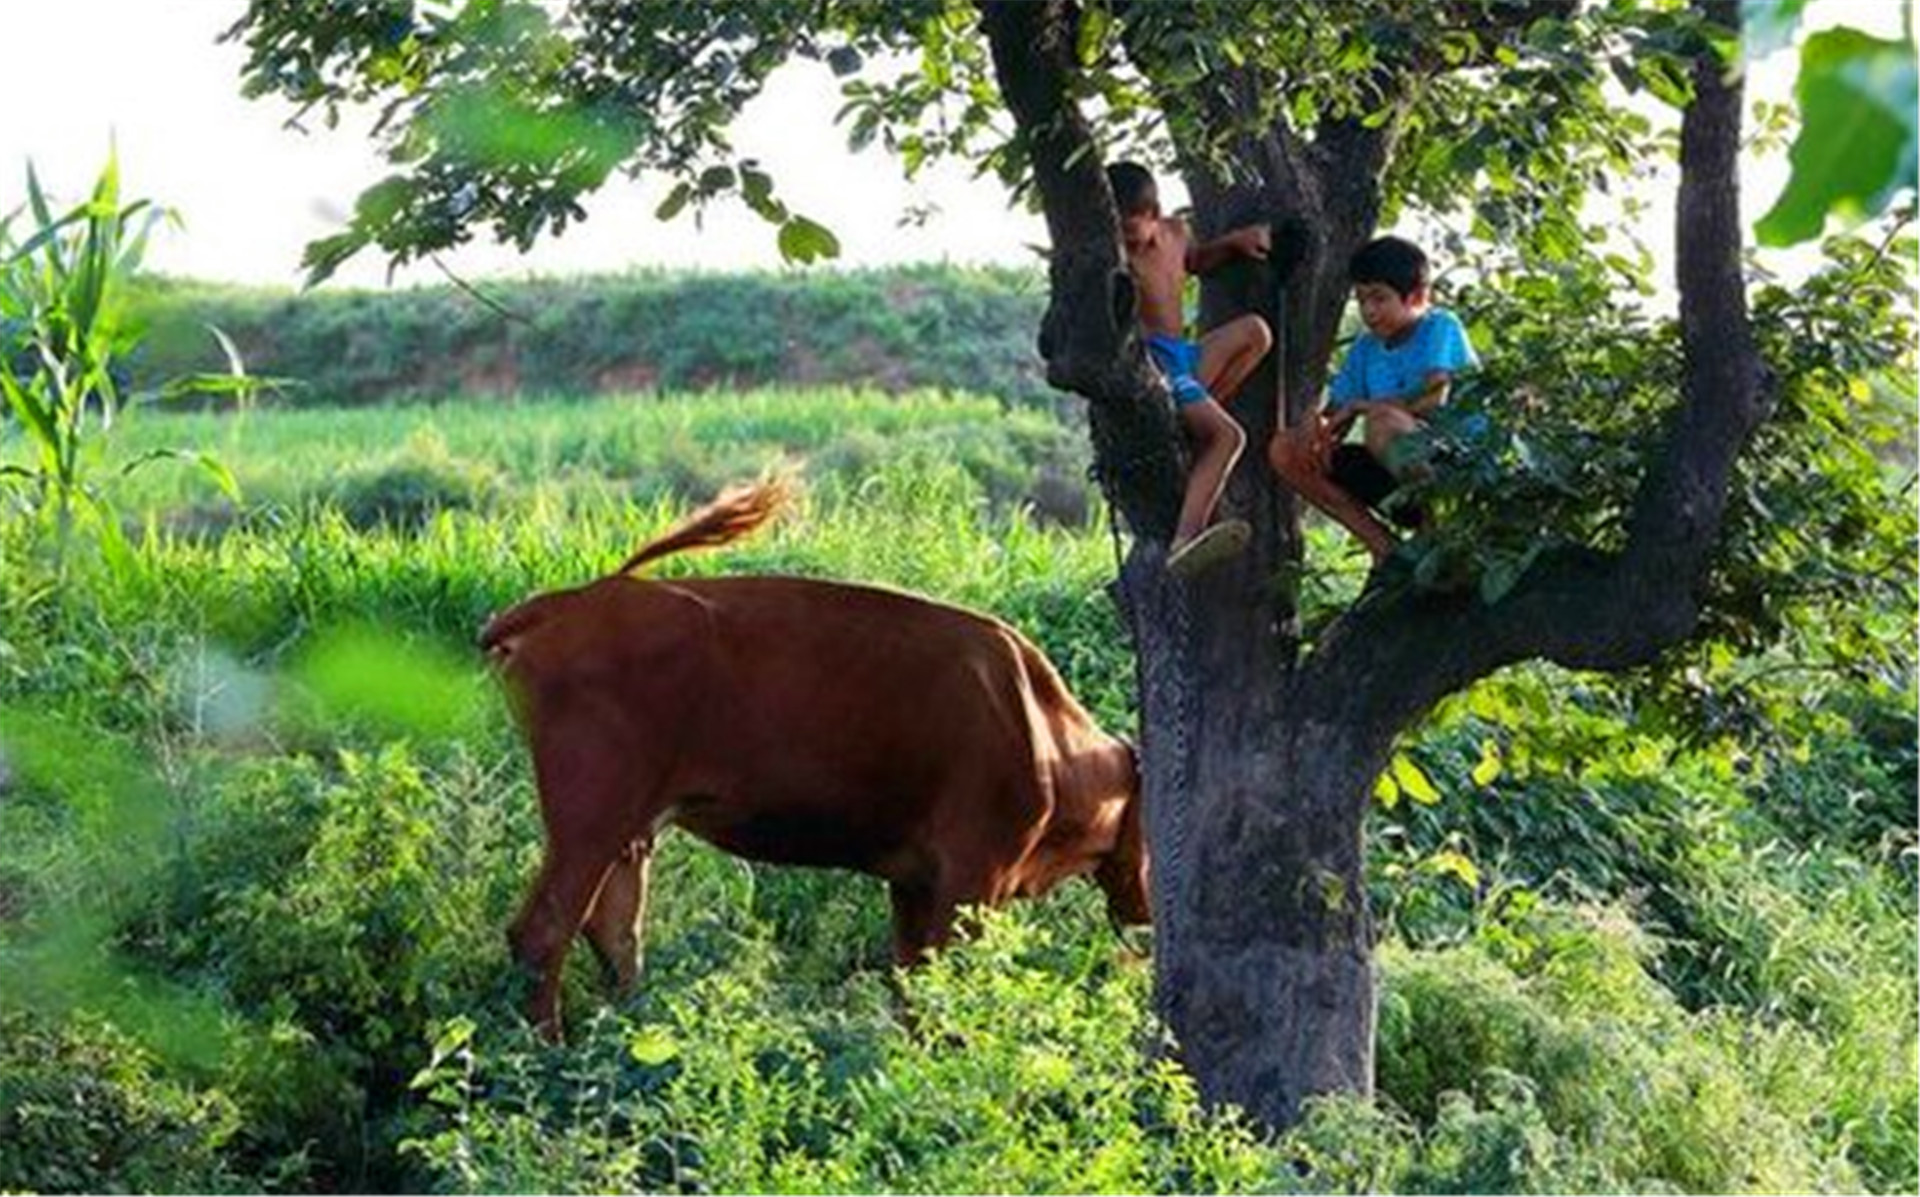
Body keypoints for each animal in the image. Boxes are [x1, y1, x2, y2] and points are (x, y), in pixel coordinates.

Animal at [480, 482, 1144, 1037]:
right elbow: (941, 984)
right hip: (592, 819)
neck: (1045, 733)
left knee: (615, 933)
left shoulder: (914, 883)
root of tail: (562, 605)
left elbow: (909, 985)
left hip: (631, 830)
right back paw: (547, 1050)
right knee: (543, 931)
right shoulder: (972, 878)